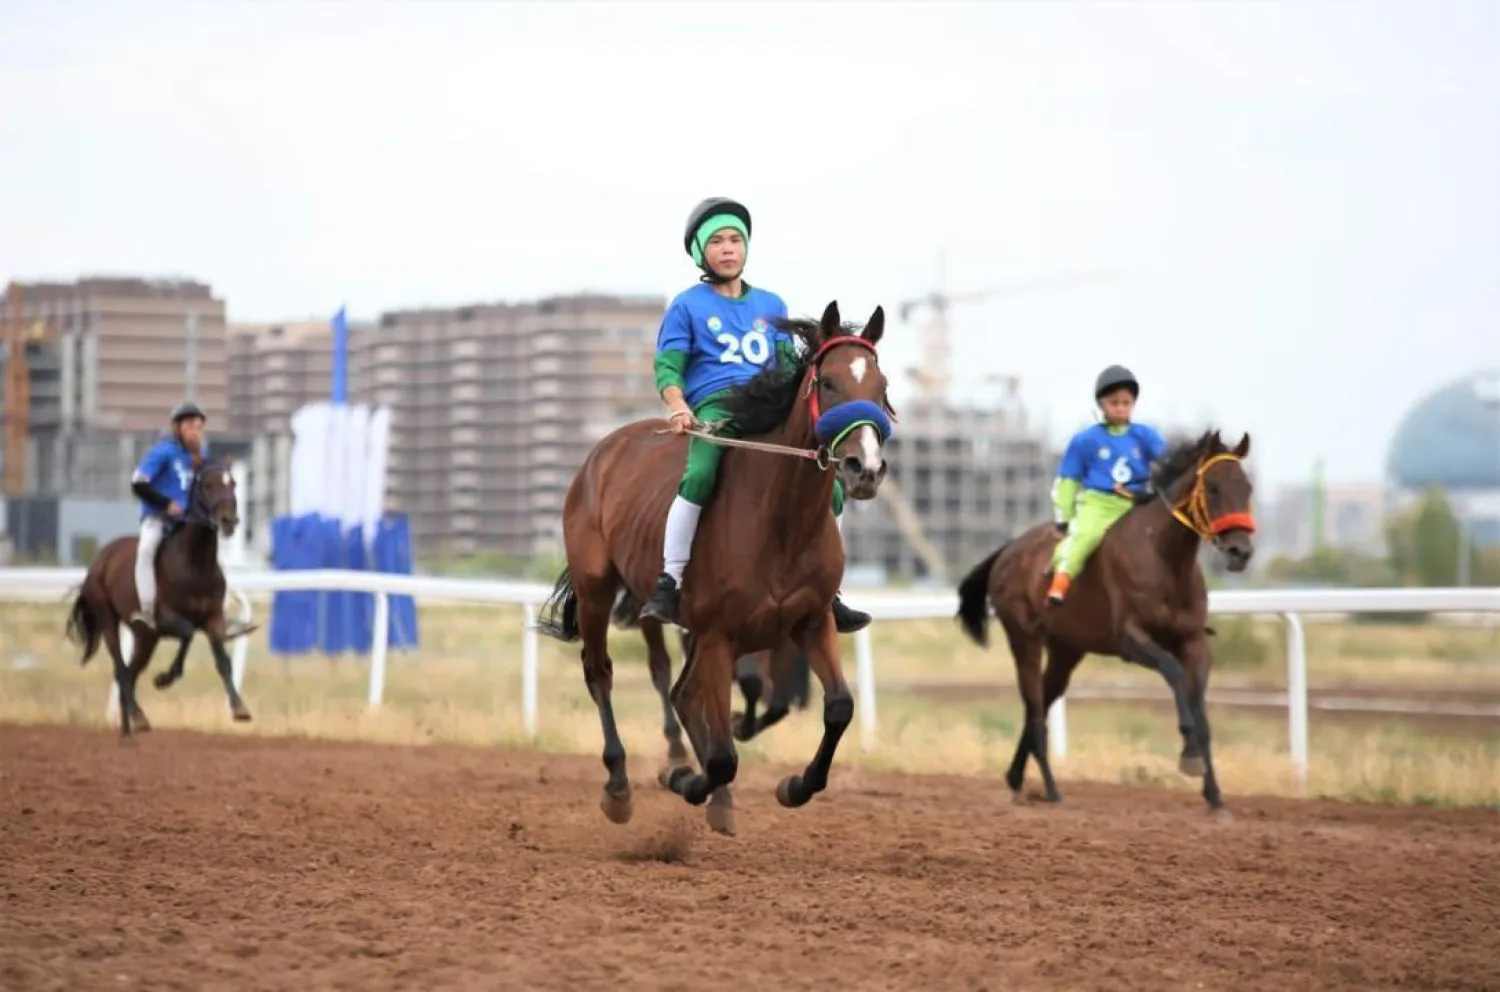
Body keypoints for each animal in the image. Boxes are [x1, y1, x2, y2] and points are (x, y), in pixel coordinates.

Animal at [66, 456, 255, 735]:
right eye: (207, 485)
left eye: (233, 484)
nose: (228, 520)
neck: (194, 565)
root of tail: (101, 558)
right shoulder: (167, 618)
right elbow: (188, 633)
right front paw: (165, 678)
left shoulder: (213, 619)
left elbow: (222, 660)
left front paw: (239, 708)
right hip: (110, 621)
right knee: (121, 668)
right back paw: (136, 717)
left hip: (145, 638)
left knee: (130, 671)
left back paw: (134, 719)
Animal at [537, 298, 888, 834]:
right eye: (828, 383)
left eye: (882, 386)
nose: (863, 468)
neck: (780, 521)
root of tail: (603, 452)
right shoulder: (720, 635)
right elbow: (723, 756)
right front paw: (683, 778)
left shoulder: (810, 621)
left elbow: (839, 708)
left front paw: (794, 786)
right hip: (598, 591)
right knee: (601, 673)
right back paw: (620, 786)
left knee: (682, 693)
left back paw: (713, 797)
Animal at [954, 429, 1260, 810]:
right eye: (1214, 487)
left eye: (1247, 487)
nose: (1240, 551)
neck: (1163, 558)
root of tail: (1007, 551)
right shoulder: (1131, 639)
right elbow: (1174, 673)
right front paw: (1190, 757)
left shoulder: (1193, 642)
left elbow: (1198, 703)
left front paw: (1214, 793)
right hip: (1024, 638)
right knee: (1035, 712)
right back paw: (1051, 789)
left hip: (1067, 649)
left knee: (1040, 704)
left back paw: (1015, 777)